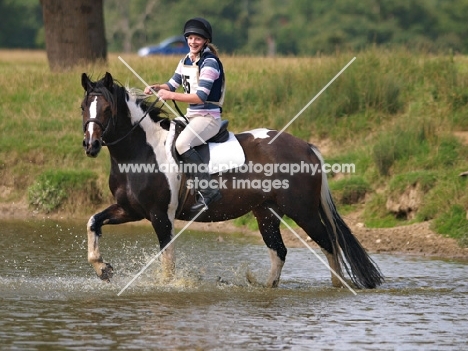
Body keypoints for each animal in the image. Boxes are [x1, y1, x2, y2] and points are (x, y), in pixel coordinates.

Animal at [80, 71, 384, 288]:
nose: (90, 145)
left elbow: (167, 260)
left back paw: (339, 286)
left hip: (302, 211)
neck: (141, 151)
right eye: (84, 106)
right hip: (267, 213)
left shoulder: (160, 215)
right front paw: (102, 269)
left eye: (107, 109)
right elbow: (93, 222)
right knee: (279, 252)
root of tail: (306, 147)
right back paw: (265, 287)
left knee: (328, 242)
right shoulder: (130, 209)